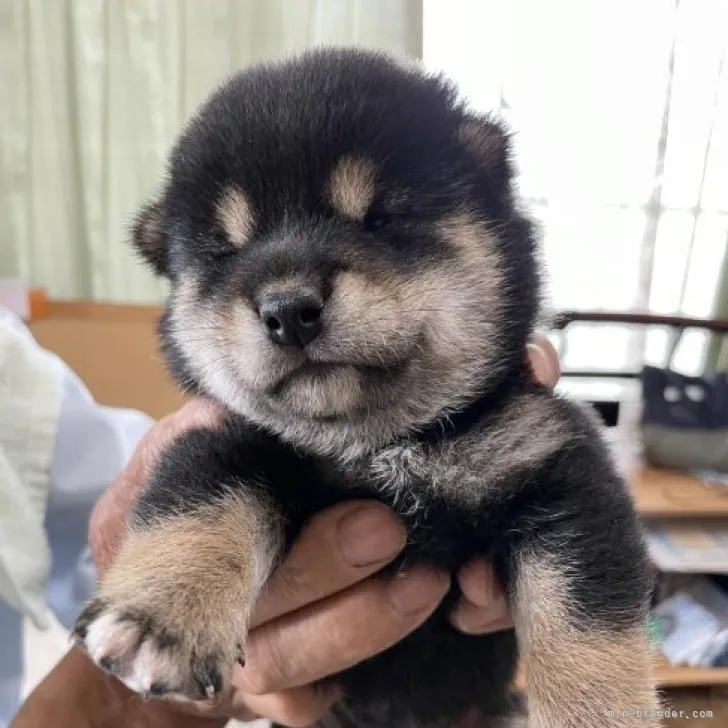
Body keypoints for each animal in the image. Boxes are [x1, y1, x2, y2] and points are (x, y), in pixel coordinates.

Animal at [74, 48, 660, 724]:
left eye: (382, 218)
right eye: (224, 251)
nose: (289, 308)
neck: (379, 443)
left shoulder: (553, 462)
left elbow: (585, 624)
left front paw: (596, 709)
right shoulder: (235, 438)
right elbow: (200, 497)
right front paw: (159, 614)